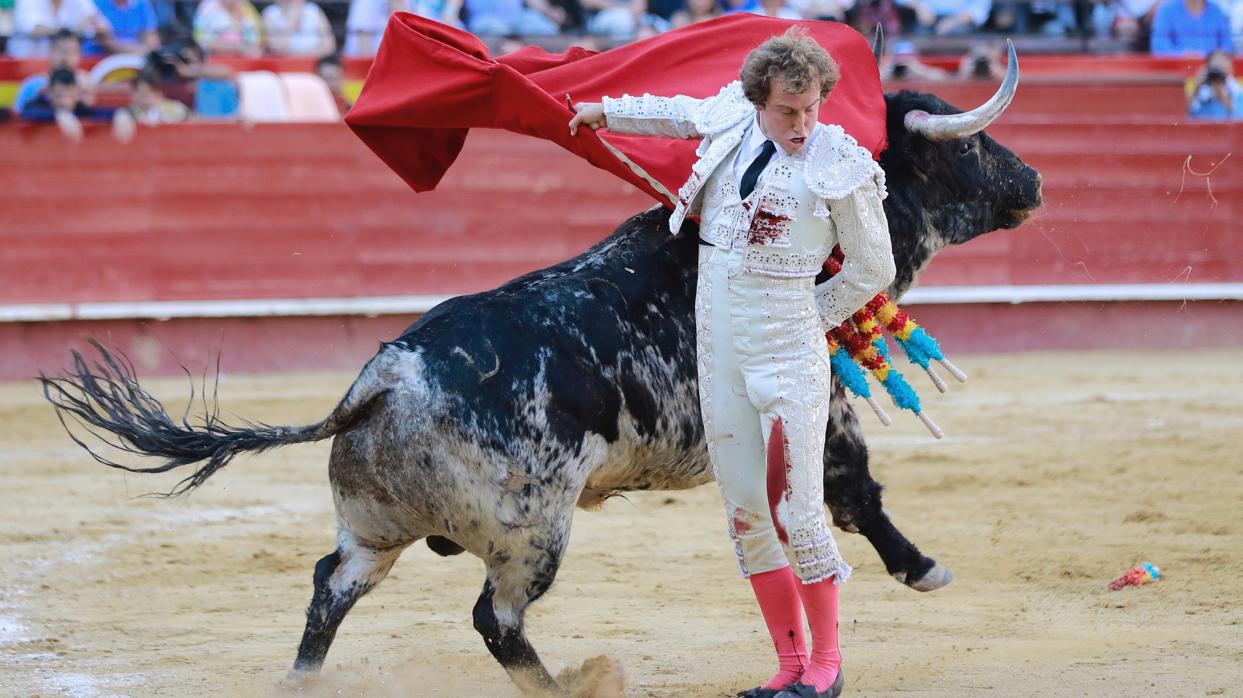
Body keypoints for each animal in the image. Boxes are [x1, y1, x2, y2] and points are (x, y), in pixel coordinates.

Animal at [43, 55, 1039, 695]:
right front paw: (923, 568)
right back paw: (571, 684)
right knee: (495, 620)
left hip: (374, 527)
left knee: (331, 585)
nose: (1031, 181)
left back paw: (302, 683)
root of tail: (381, 382)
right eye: (967, 148)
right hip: (531, 533)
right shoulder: (820, 406)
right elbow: (853, 492)